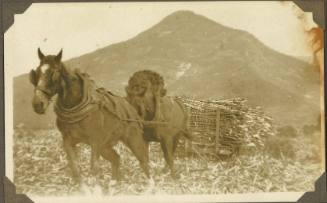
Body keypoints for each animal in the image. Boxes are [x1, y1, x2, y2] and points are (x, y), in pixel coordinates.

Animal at [29, 48, 150, 182]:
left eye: (53, 73)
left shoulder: (95, 141)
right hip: (105, 146)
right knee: (116, 159)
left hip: (133, 139)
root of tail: (129, 106)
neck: (74, 106)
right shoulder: (68, 141)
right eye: (37, 72)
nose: (37, 104)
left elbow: (94, 169)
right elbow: (75, 170)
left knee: (144, 162)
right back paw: (115, 184)